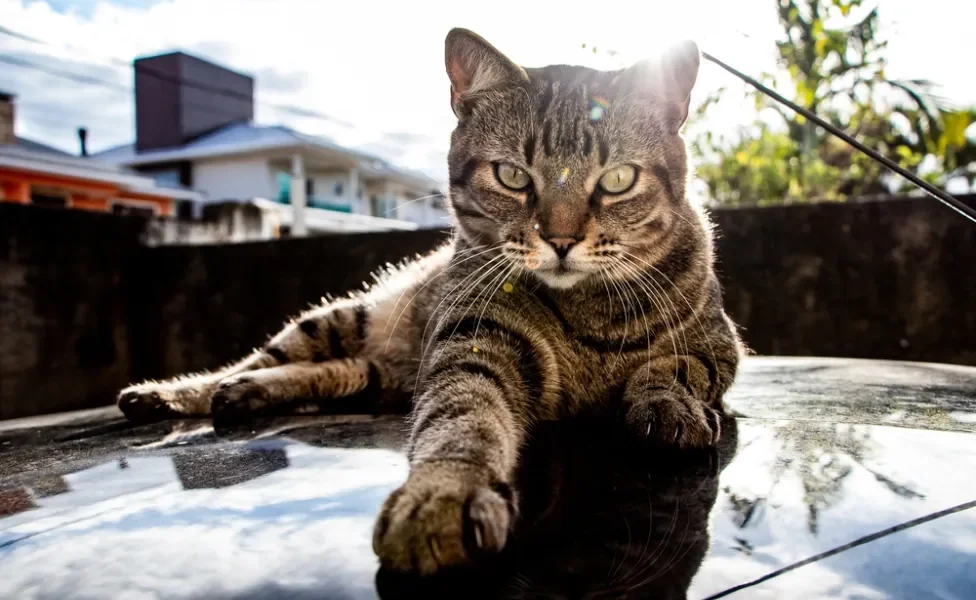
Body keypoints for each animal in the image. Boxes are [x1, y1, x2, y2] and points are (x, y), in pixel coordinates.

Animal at [116, 29, 740, 576]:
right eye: (512, 176)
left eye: (617, 180)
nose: (561, 241)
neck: (589, 314)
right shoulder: (473, 338)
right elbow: (462, 413)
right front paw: (444, 494)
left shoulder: (720, 345)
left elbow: (672, 366)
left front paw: (669, 405)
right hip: (340, 318)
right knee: (256, 359)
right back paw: (172, 393)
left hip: (376, 373)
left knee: (331, 372)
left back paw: (244, 393)